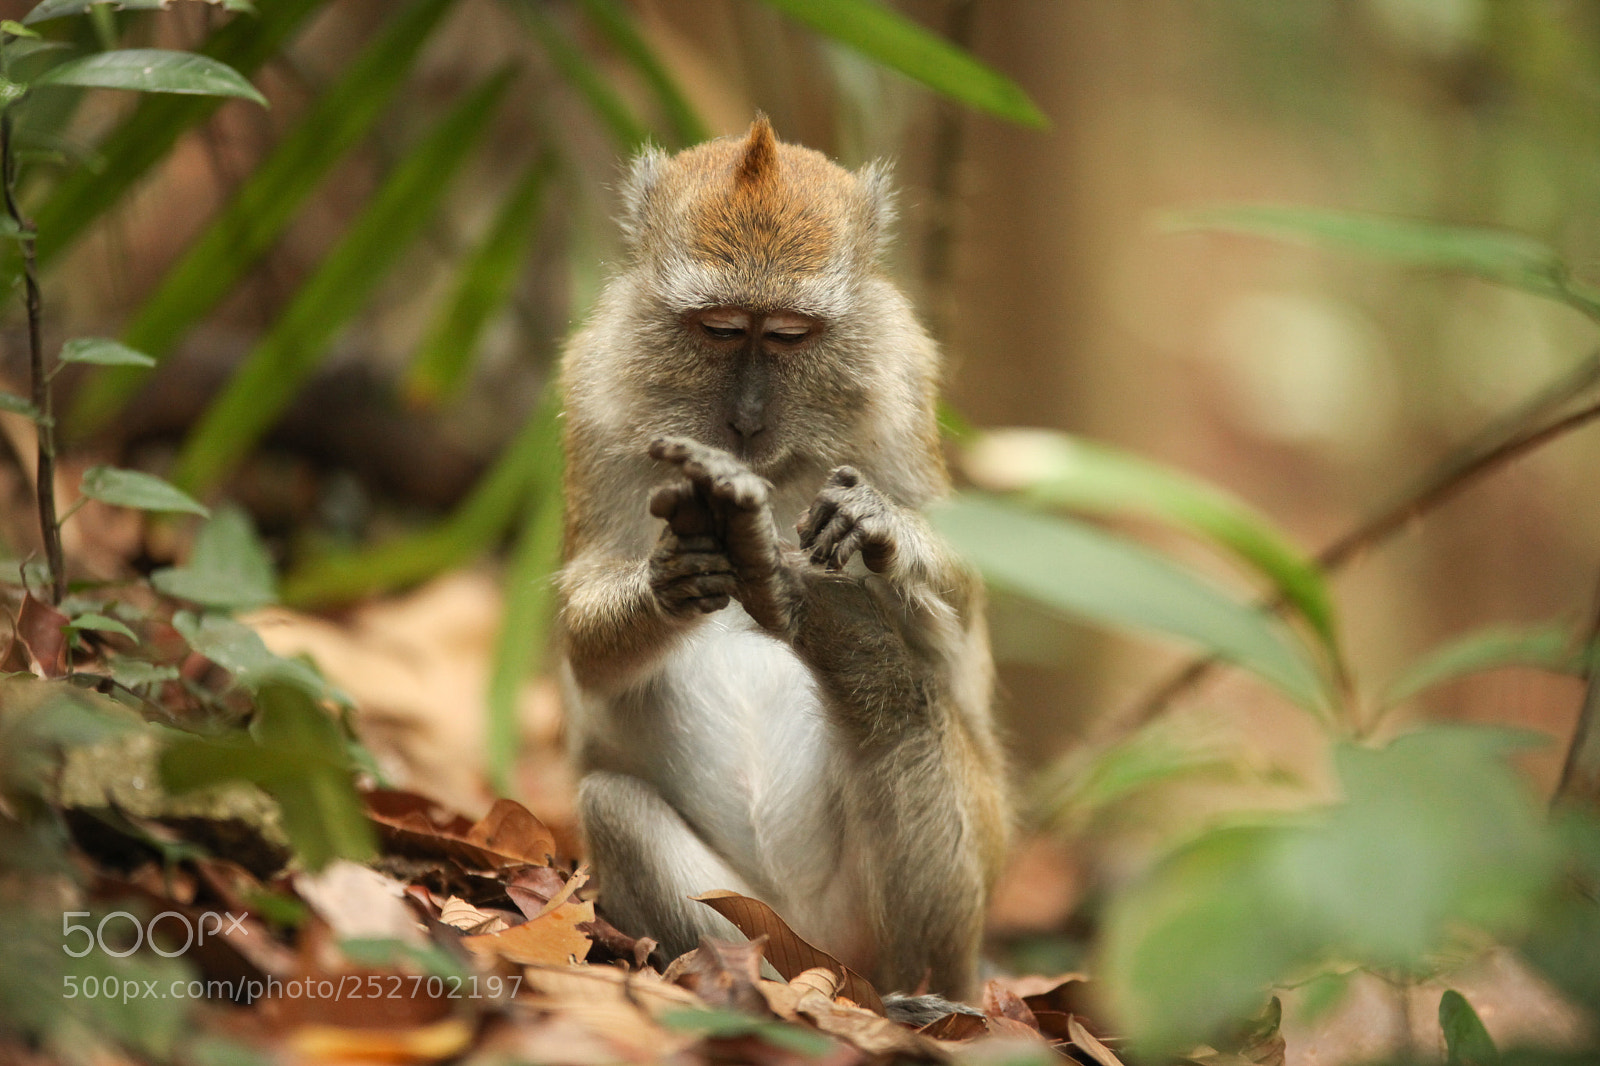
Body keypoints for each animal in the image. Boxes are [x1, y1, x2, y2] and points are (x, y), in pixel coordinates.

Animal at [557, 117, 1009, 1009]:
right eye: (721, 328)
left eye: (792, 334)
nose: (747, 419)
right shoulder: (595, 387)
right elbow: (583, 640)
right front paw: (673, 574)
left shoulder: (903, 378)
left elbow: (964, 617)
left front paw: (880, 527)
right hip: (759, 915)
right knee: (613, 806)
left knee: (909, 707)